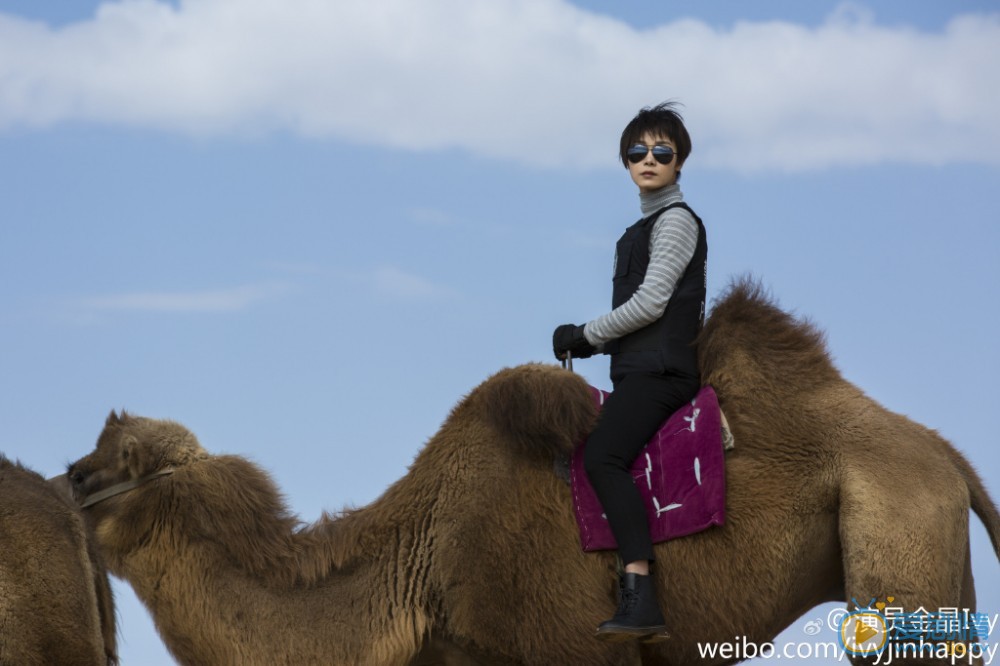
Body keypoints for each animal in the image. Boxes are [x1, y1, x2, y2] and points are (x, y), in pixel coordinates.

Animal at [66, 280, 996, 664]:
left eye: (102, 469)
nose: (63, 476)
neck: (422, 563)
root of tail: (946, 454)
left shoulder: (570, 646)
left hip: (893, 530)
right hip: (930, 554)